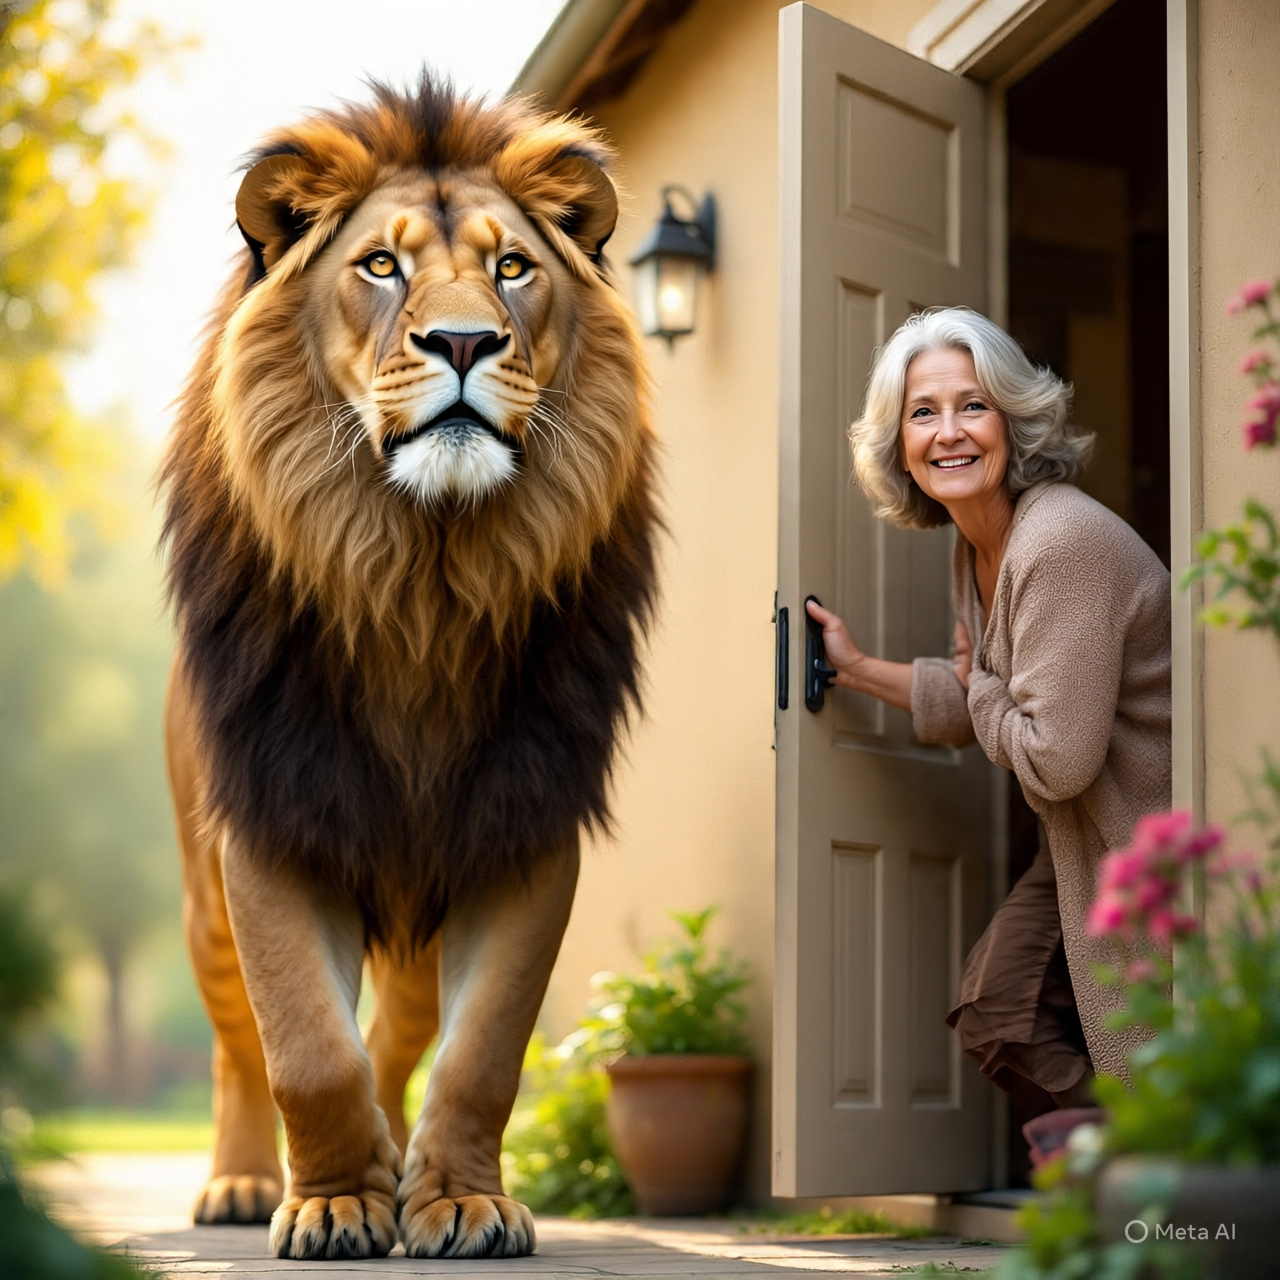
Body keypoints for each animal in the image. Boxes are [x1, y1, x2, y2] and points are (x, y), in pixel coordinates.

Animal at [159, 74, 658, 1261]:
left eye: (511, 267)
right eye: (380, 266)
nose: (465, 340)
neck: (422, 576)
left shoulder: (524, 823)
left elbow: (479, 1054)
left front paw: (458, 1202)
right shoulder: (275, 816)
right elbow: (304, 1046)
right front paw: (335, 1202)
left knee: (399, 1037)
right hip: (203, 903)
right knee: (238, 1045)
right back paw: (246, 1181)